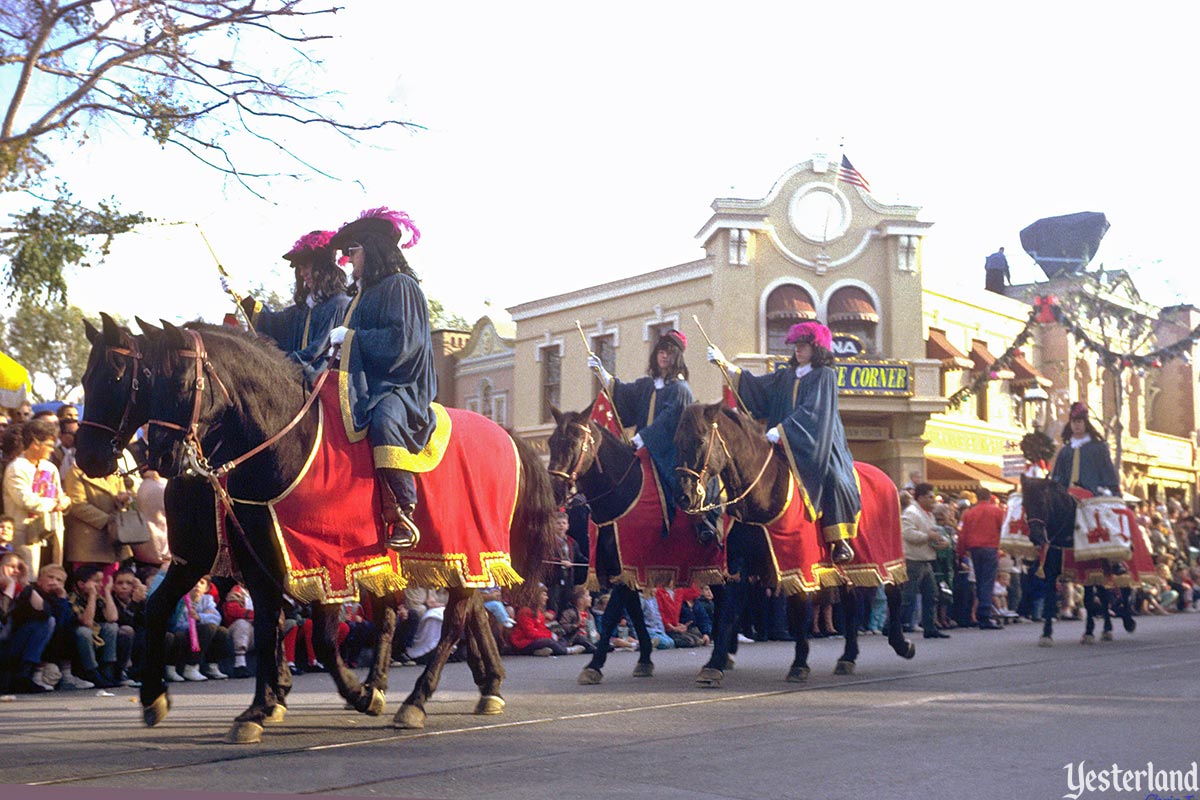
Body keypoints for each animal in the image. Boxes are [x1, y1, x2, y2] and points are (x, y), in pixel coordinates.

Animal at [77, 316, 400, 743]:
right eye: (85, 378)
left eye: (117, 378)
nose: (87, 456)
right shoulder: (208, 557)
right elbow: (164, 608)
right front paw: (156, 697)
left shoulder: (324, 563)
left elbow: (319, 636)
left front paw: (348, 693)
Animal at [141, 316, 556, 738]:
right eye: (148, 383)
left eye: (180, 383)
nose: (159, 456)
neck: (288, 444)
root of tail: (506, 435)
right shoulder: (261, 560)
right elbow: (268, 627)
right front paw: (259, 707)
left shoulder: (327, 563)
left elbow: (321, 639)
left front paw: (356, 696)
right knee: (454, 614)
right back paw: (478, 687)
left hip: (469, 550)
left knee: (454, 621)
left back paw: (416, 701)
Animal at [544, 410, 720, 686]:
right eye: (551, 443)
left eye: (572, 443)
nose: (555, 490)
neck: (621, 492)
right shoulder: (623, 569)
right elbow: (634, 614)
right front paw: (644, 659)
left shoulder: (627, 565)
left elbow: (612, 615)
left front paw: (594, 665)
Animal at [672, 402, 912, 690]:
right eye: (676, 441)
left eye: (700, 440)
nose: (683, 496)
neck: (761, 495)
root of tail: (885, 477)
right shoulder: (740, 566)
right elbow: (729, 612)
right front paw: (714, 664)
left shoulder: (796, 563)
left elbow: (798, 611)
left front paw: (799, 664)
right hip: (847, 567)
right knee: (851, 602)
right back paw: (848, 657)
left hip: (884, 554)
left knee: (894, 591)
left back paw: (902, 644)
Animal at [1017, 479, 1137, 647]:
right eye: (1024, 504)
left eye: (1042, 502)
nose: (1035, 537)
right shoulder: (1050, 571)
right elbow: (1049, 599)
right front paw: (1046, 634)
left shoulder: (1086, 570)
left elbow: (1088, 600)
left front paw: (1088, 633)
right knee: (1104, 595)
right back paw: (1107, 628)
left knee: (1124, 589)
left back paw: (1128, 621)